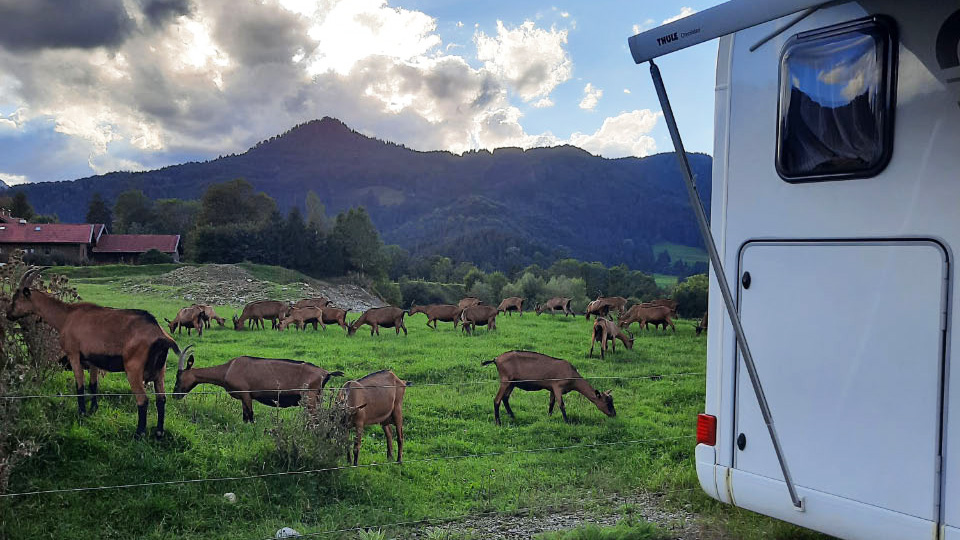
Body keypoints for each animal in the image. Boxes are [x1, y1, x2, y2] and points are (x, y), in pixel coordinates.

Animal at [6, 266, 191, 438]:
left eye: (16, 297)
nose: (8, 315)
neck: (66, 316)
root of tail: (159, 334)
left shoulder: (74, 355)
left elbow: (80, 385)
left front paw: (81, 413)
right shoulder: (93, 360)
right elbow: (93, 385)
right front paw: (93, 409)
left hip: (133, 369)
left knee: (142, 400)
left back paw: (139, 434)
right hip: (161, 371)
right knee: (161, 399)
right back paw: (159, 433)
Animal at [174, 354, 344, 422]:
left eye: (178, 376)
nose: (175, 395)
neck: (228, 369)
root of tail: (326, 373)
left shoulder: (246, 395)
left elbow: (249, 417)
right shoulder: (244, 398)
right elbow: (245, 418)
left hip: (310, 399)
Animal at [480, 350, 616, 426]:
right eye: (607, 402)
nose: (614, 414)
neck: (571, 375)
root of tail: (496, 359)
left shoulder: (551, 389)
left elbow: (551, 403)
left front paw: (549, 418)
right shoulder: (557, 387)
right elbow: (561, 405)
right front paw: (567, 422)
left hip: (512, 383)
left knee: (505, 398)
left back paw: (513, 416)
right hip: (505, 381)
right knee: (497, 400)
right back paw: (498, 422)